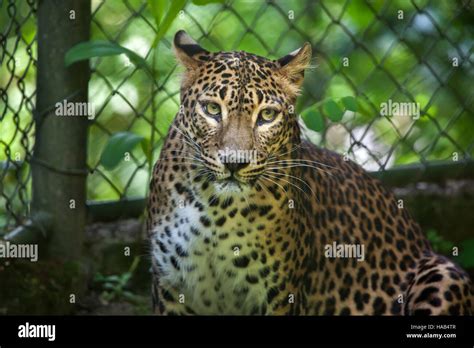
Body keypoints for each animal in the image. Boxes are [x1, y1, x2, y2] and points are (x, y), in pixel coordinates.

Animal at [146, 31, 472, 316]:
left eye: (267, 116)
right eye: (212, 109)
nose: (235, 163)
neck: (216, 213)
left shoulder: (281, 295)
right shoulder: (169, 289)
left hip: (445, 274)